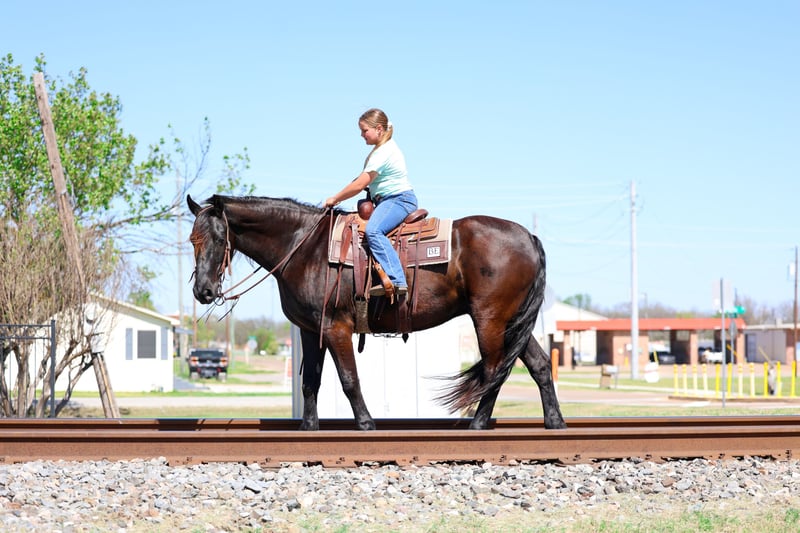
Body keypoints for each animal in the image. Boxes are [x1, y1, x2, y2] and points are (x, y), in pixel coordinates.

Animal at [187, 194, 566, 431]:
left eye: (218, 239)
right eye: (193, 240)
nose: (202, 291)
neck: (304, 247)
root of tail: (528, 237)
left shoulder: (335, 327)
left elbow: (349, 380)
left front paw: (366, 424)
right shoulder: (311, 330)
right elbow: (311, 382)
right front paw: (308, 428)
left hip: (489, 318)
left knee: (495, 368)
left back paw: (477, 424)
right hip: (513, 320)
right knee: (538, 365)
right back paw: (555, 422)